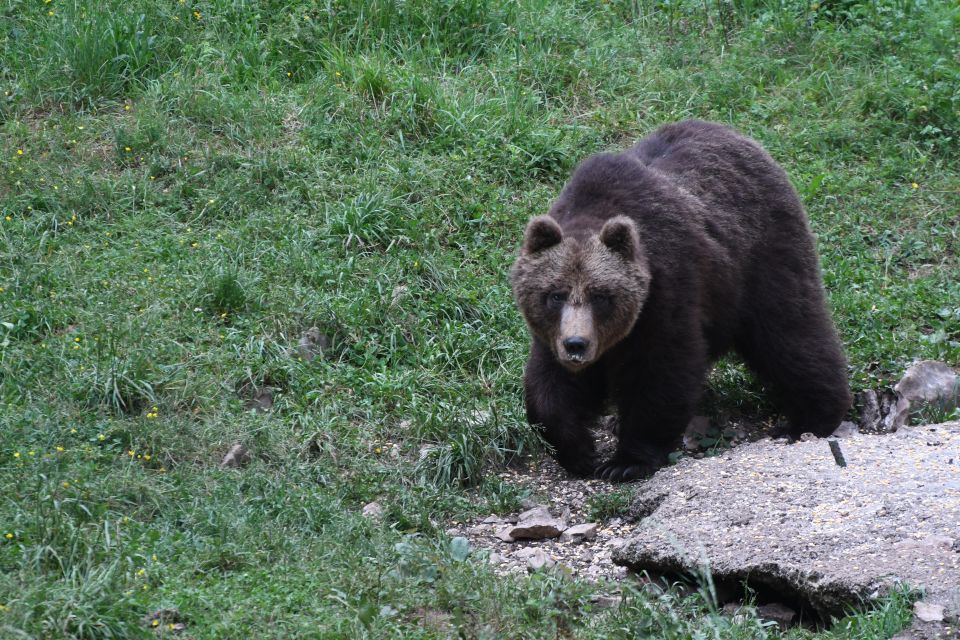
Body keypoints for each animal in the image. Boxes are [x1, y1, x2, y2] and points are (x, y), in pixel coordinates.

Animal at [512, 120, 852, 480]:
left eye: (601, 296)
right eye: (555, 295)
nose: (577, 344)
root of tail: (740, 137)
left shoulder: (667, 289)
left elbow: (662, 371)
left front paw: (625, 461)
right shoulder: (553, 332)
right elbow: (549, 386)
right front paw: (579, 451)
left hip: (761, 256)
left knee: (788, 332)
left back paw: (808, 418)